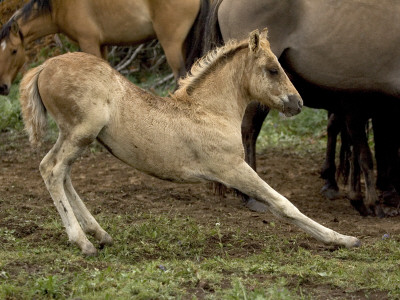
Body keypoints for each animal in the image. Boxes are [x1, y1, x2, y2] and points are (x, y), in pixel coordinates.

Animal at [0, 0, 208, 95]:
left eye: (14, 51)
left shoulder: (88, 42)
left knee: (180, 76)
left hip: (171, 44)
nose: (2, 87)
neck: (59, 6)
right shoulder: (103, 45)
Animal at [18, 30, 360, 254]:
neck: (211, 111)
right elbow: (282, 204)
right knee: (52, 170)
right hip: (81, 132)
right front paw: (342, 239)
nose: (297, 103)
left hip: (75, 136)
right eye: (273, 69)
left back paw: (100, 233)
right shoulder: (232, 168)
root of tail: (44, 66)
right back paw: (83, 241)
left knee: (62, 173)